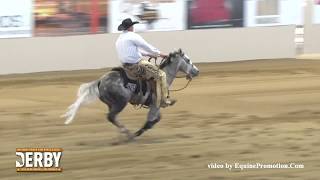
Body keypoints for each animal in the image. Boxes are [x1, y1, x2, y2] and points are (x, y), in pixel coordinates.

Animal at [61, 48, 199, 139]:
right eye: (188, 60)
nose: (197, 71)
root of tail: (101, 80)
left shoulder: (154, 105)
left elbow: (156, 119)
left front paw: (140, 131)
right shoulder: (156, 104)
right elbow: (152, 120)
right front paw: (137, 132)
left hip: (111, 103)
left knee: (113, 118)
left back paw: (123, 133)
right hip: (121, 102)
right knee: (111, 117)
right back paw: (127, 133)